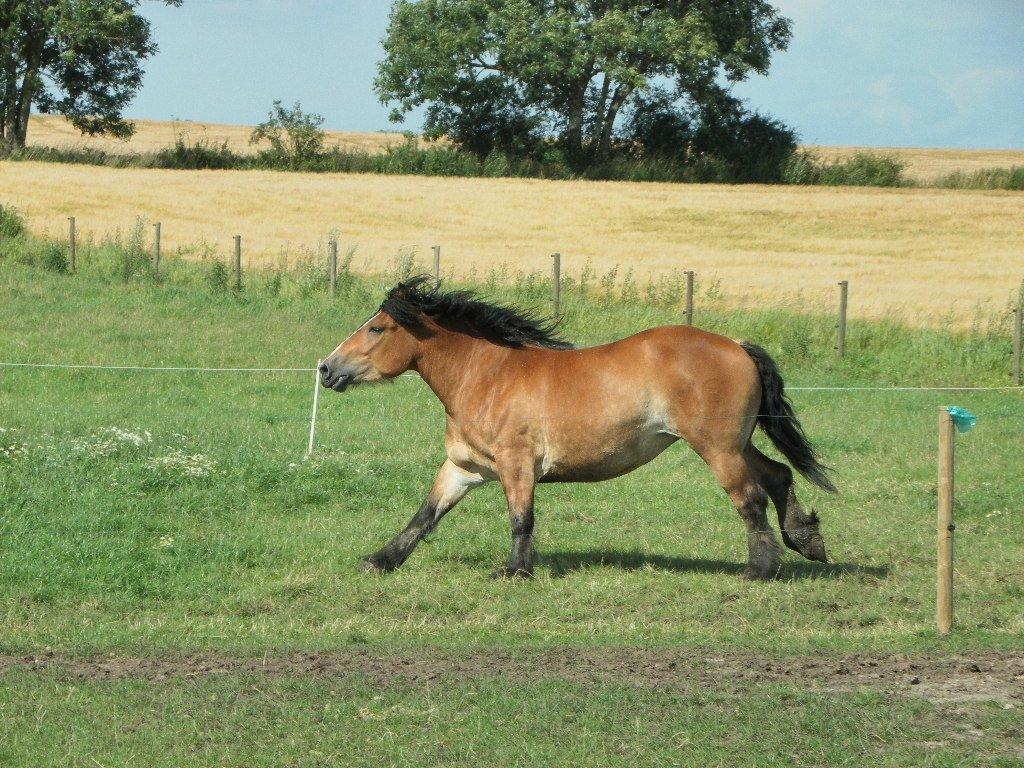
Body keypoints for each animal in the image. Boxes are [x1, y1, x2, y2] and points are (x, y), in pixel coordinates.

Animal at [323, 280, 835, 581]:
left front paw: (514, 572)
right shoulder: (465, 467)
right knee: (779, 476)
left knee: (751, 499)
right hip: (736, 444)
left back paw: (760, 569)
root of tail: (737, 345)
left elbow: (521, 519)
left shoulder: (517, 465)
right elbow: (425, 516)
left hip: (718, 449)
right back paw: (806, 543)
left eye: (377, 329)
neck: (488, 374)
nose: (327, 369)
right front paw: (380, 560)